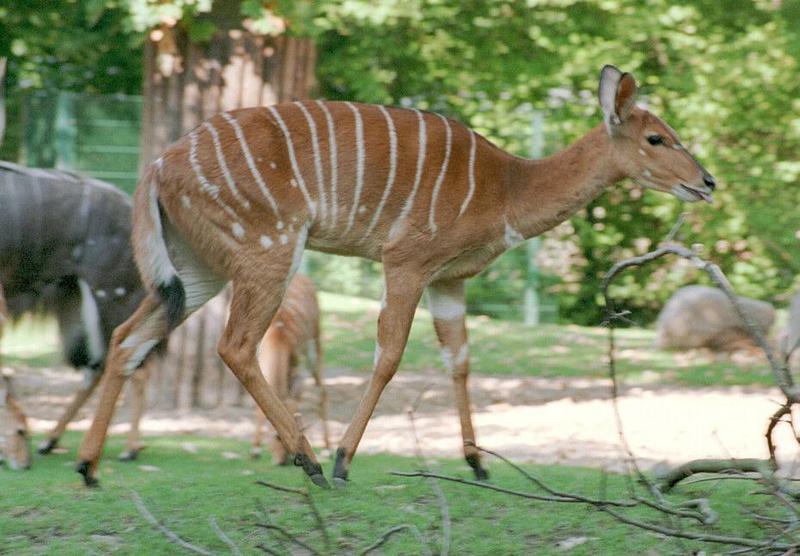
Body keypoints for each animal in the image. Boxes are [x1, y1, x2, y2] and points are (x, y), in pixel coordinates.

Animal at [0, 162, 152, 464]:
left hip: (110, 298)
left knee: (130, 364)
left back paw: (128, 450)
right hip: (73, 303)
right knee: (97, 367)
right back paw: (50, 442)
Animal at [248, 274, 326, 464]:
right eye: (278, 436)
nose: (282, 461)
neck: (278, 335)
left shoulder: (295, 362)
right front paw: (255, 451)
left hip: (315, 343)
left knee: (322, 390)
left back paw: (329, 449)